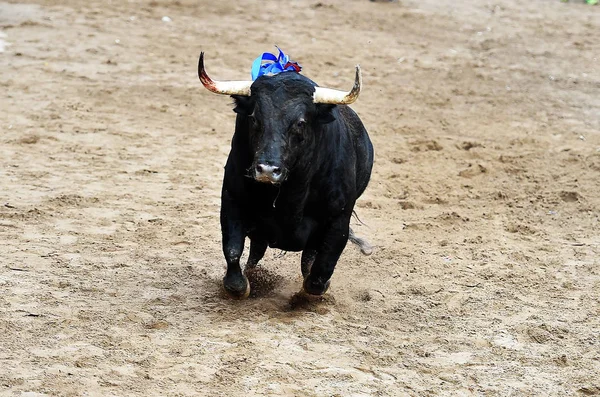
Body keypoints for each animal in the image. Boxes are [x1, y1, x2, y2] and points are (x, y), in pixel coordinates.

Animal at [199, 52, 372, 296]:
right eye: (254, 118)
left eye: (300, 122)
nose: (267, 170)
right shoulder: (232, 201)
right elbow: (232, 251)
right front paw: (242, 285)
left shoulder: (339, 219)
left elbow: (319, 273)